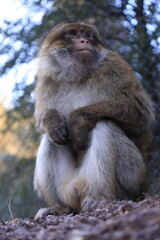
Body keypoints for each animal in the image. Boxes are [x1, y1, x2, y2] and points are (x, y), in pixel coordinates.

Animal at [33, 22, 154, 218]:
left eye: (87, 35)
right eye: (74, 34)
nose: (84, 41)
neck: (76, 75)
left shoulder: (114, 66)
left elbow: (140, 113)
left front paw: (76, 119)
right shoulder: (47, 80)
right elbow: (42, 123)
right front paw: (52, 120)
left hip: (134, 181)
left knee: (105, 125)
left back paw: (102, 198)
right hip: (69, 188)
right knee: (51, 139)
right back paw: (61, 208)